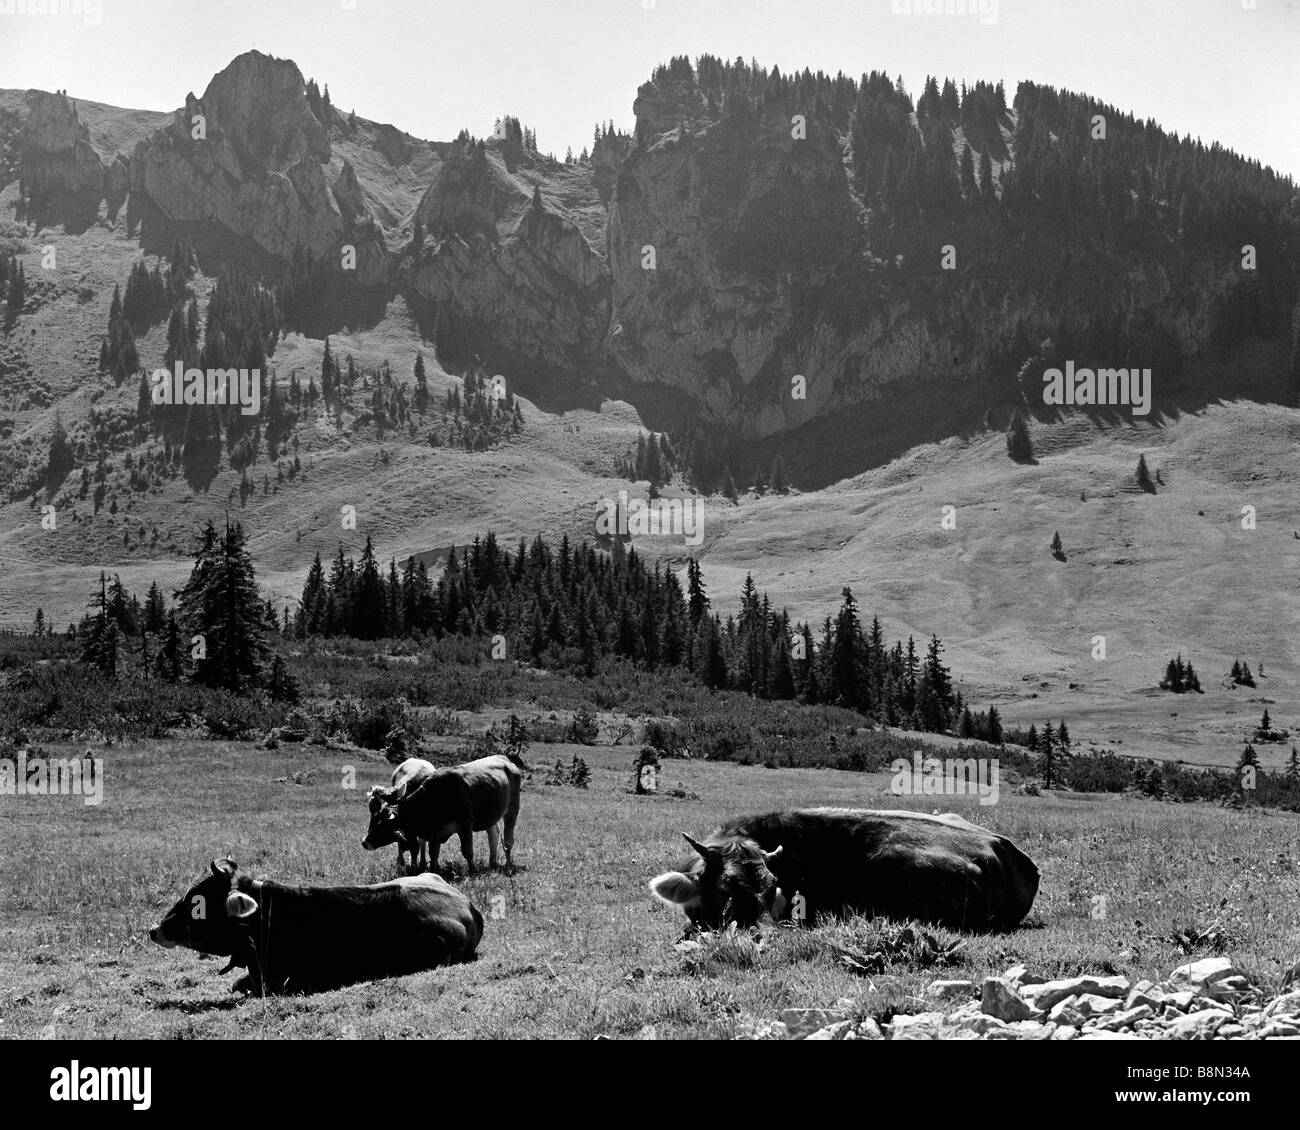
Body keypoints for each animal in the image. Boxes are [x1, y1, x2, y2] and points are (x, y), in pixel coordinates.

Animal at [361, 754, 522, 879]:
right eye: (374, 817)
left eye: (383, 823)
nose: (364, 842)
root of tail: (505, 760)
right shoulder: (434, 833)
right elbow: (433, 853)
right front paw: (432, 871)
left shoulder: (465, 826)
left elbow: (467, 851)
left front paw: (473, 871)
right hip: (490, 816)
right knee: (493, 833)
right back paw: (492, 862)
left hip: (512, 809)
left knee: (508, 840)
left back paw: (507, 865)